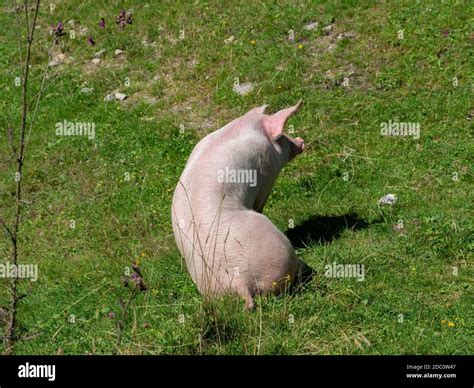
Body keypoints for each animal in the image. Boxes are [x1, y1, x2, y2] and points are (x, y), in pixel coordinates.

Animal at [172, 101, 306, 308]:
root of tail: (238, 280)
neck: (244, 124)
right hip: (278, 252)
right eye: (282, 137)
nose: (301, 141)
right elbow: (260, 202)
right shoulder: (267, 176)